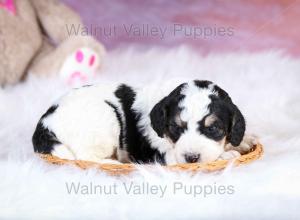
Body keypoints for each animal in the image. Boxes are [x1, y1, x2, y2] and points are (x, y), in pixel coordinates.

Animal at [32, 80, 253, 164]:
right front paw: (227, 155)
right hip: (105, 117)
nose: (191, 158)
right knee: (85, 157)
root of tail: (45, 122)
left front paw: (244, 141)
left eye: (213, 128)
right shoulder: (163, 157)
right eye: (175, 128)